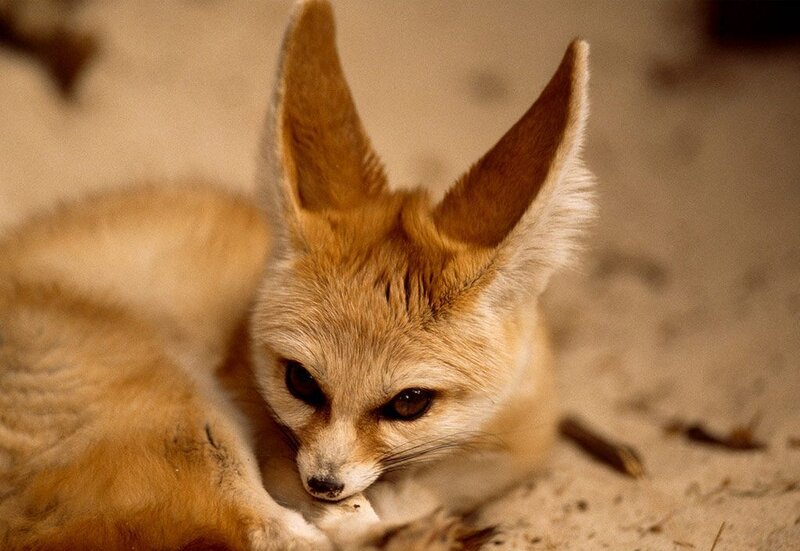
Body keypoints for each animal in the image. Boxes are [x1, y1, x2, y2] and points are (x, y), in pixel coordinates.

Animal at [0, 0, 593, 549]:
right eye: (301, 381)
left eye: (409, 403)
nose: (323, 483)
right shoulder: (266, 432)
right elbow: (335, 515)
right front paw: (386, 521)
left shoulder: (502, 452)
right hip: (180, 404)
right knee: (272, 533)